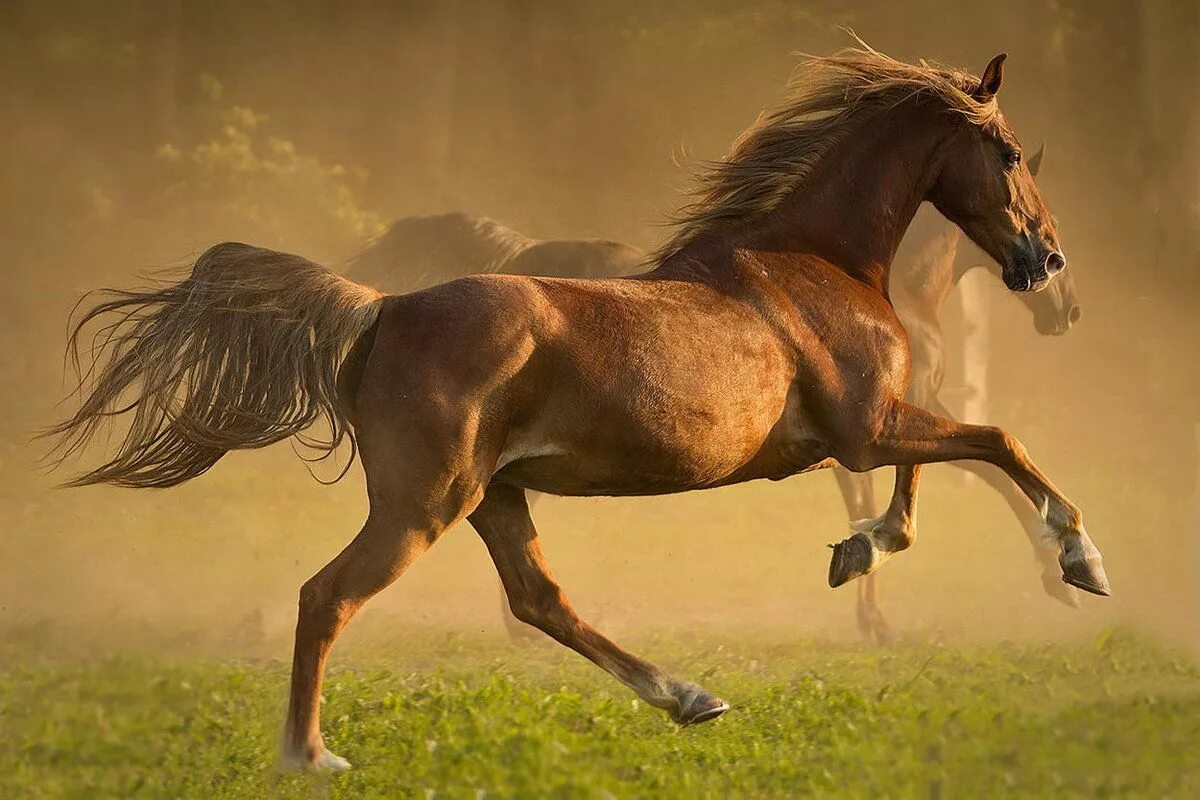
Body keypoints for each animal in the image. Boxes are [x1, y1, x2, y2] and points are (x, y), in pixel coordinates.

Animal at [51, 45, 1108, 767]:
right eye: (1007, 151)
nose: (1051, 268)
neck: (809, 258)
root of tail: (383, 310)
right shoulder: (869, 421)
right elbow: (993, 444)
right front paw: (1077, 561)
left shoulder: (870, 426)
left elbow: (933, 477)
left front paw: (860, 556)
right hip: (423, 506)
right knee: (329, 596)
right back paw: (309, 755)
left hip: (494, 497)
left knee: (541, 599)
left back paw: (689, 696)